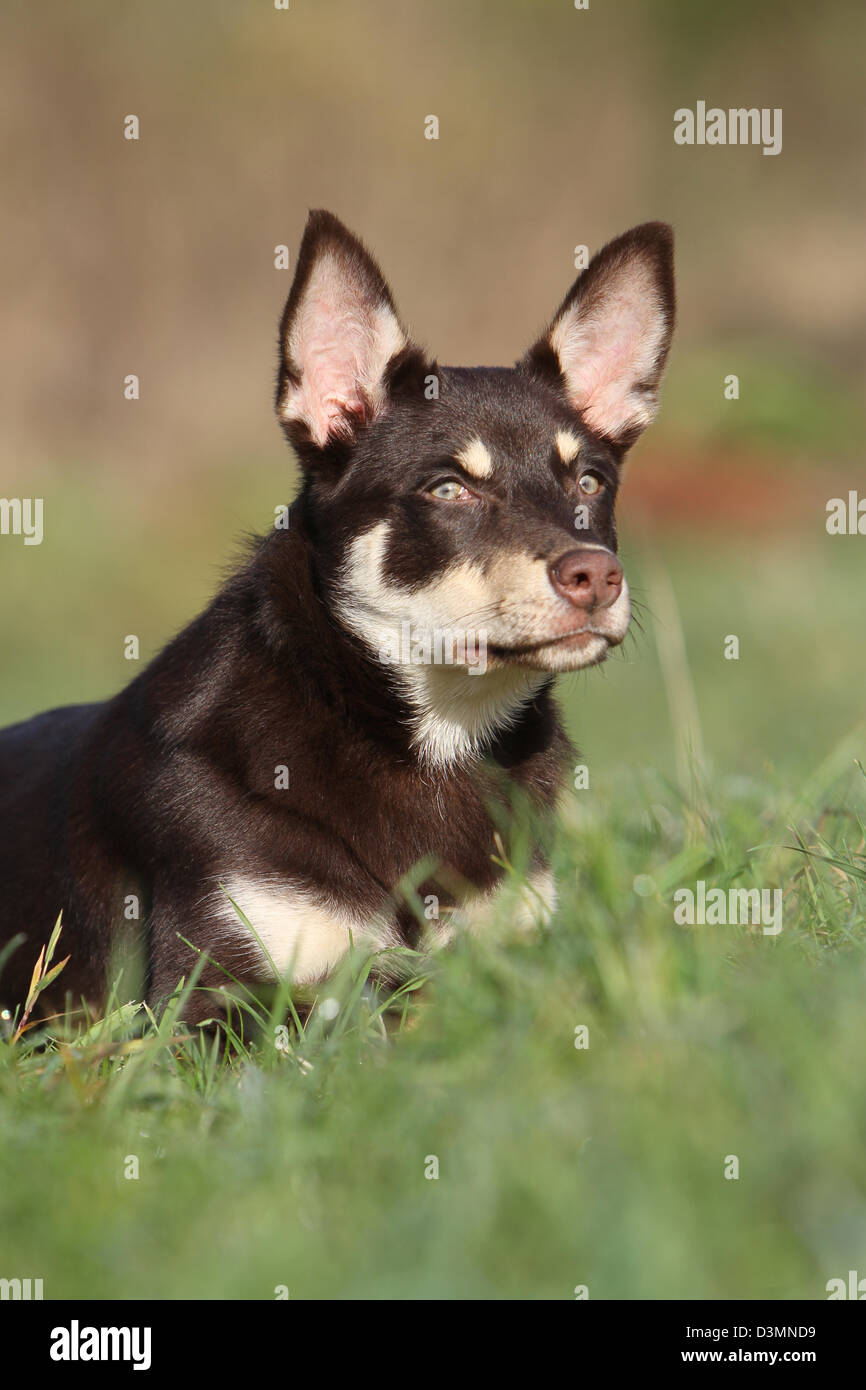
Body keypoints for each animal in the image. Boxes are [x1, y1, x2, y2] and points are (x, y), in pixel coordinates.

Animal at [0, 211, 675, 1028]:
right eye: (448, 489)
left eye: (591, 482)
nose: (596, 577)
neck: (435, 741)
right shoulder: (209, 998)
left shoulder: (521, 943)